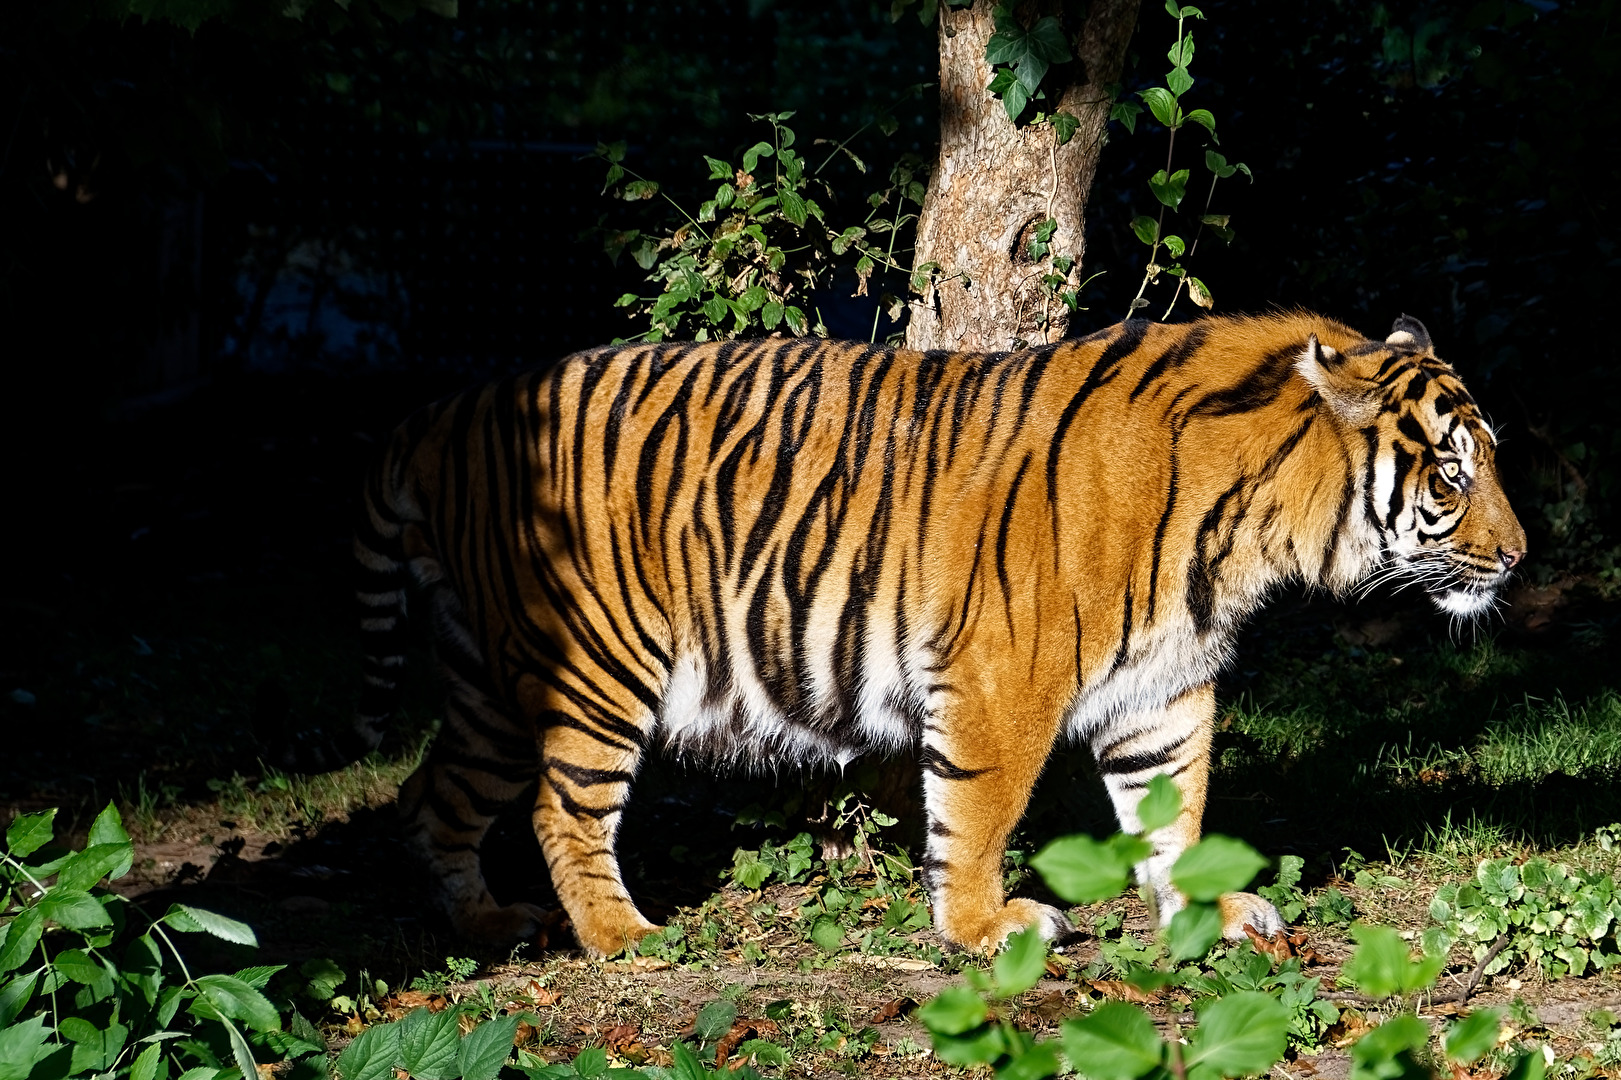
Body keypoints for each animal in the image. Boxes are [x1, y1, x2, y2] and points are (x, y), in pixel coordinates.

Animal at [332, 312, 1524, 956]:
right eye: (1452, 473)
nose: (1517, 556)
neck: (1250, 528)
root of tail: (442, 413)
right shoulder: (1003, 676)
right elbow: (977, 812)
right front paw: (983, 929)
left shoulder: (1162, 686)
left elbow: (1172, 807)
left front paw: (1208, 908)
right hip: (596, 665)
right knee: (559, 806)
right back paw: (624, 938)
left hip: (490, 683)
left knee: (429, 797)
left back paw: (484, 924)